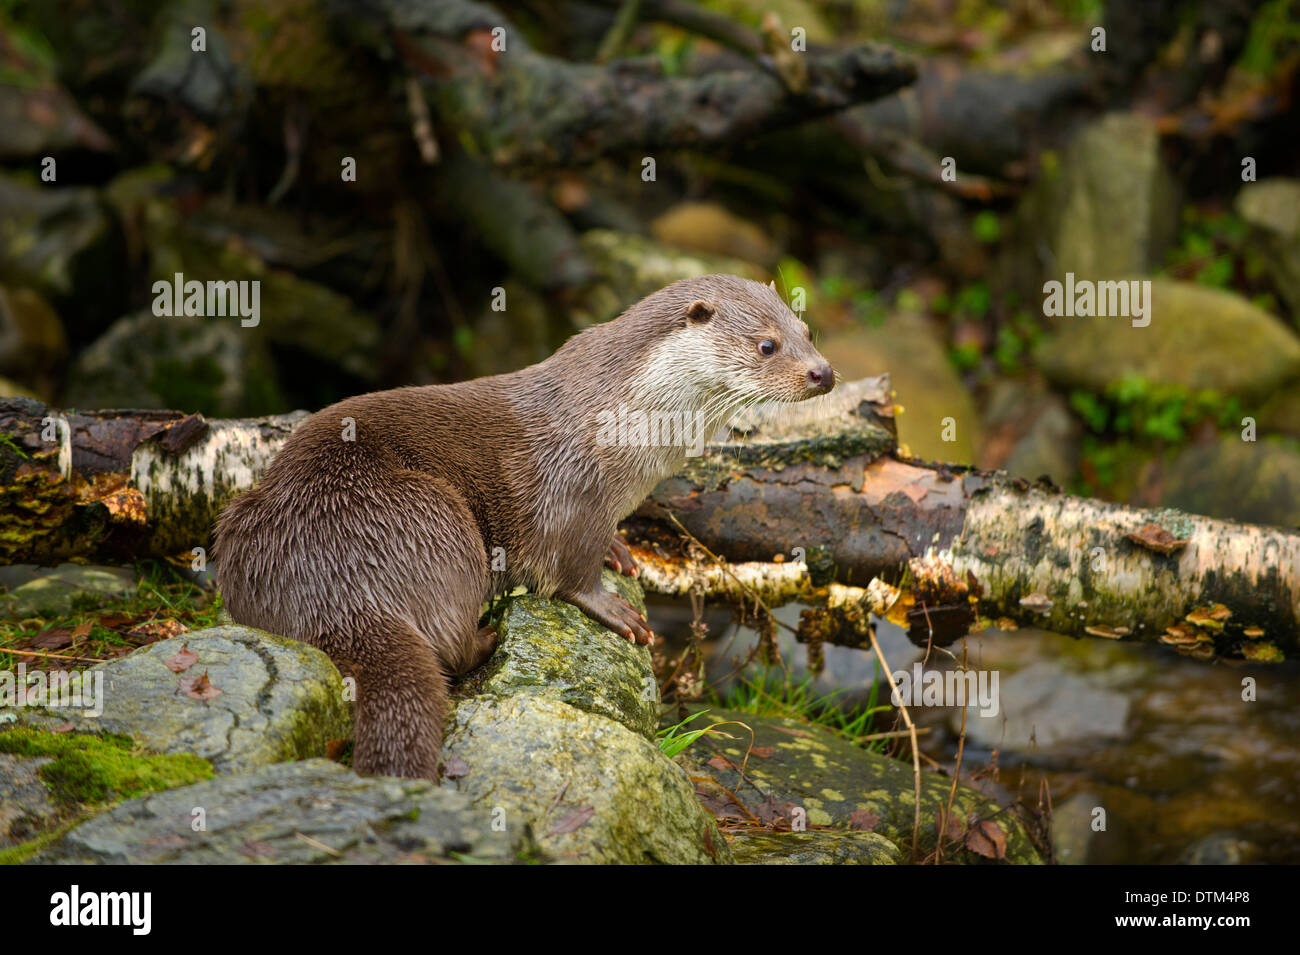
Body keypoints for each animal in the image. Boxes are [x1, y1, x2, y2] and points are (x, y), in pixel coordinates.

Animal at [213, 272, 832, 779]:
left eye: (807, 330)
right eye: (768, 344)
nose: (823, 372)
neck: (626, 424)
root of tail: (334, 587)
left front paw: (620, 550)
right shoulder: (573, 493)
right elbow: (569, 571)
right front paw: (614, 609)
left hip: (244, 528)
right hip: (432, 514)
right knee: (449, 647)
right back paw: (489, 638)